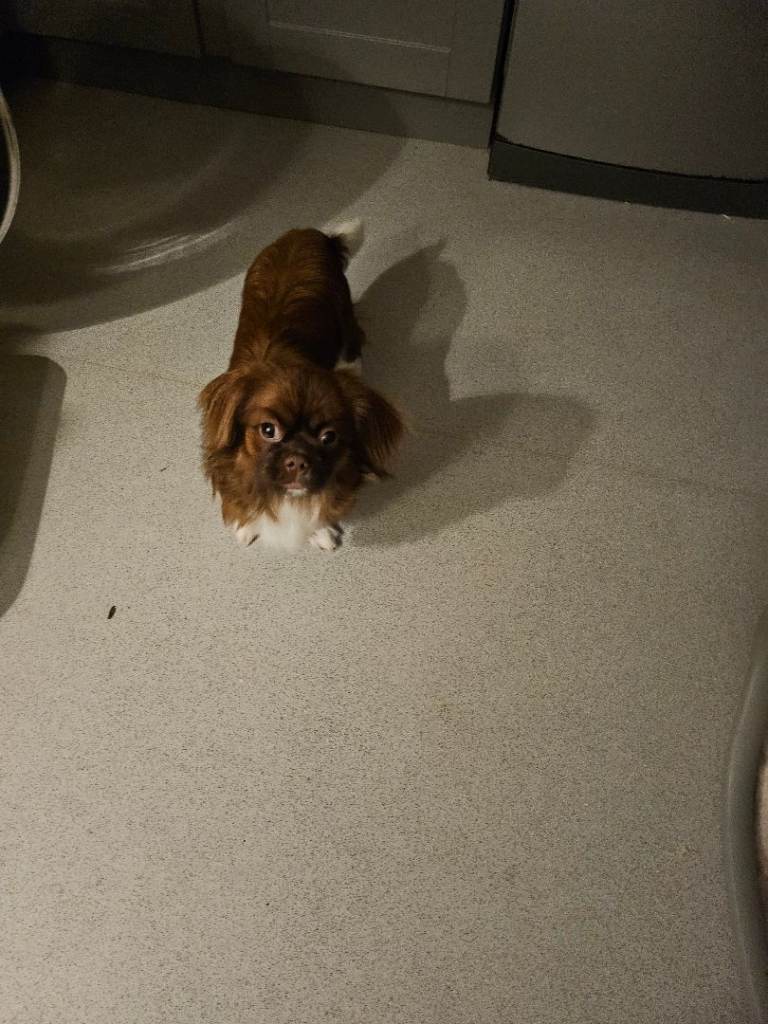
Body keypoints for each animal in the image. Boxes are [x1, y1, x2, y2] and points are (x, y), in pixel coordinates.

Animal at [198, 220, 403, 551]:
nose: (297, 460)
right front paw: (246, 524)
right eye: (268, 430)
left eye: (328, 437)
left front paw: (321, 532)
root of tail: (309, 234)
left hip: (345, 322)